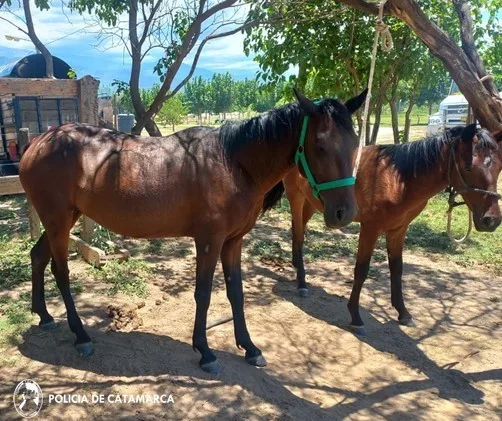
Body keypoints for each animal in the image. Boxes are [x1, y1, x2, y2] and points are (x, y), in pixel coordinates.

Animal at [19, 88, 366, 370]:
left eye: (355, 143)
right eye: (319, 145)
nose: (344, 213)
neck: (233, 163)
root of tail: (37, 143)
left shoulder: (233, 241)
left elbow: (236, 293)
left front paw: (250, 348)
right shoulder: (209, 241)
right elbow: (203, 294)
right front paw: (205, 351)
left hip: (62, 220)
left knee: (37, 257)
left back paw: (45, 316)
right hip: (58, 220)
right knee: (60, 272)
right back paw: (81, 335)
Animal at [284, 124, 502, 334]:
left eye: (499, 168)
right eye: (468, 168)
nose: (491, 220)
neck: (396, 180)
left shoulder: (398, 229)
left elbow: (397, 269)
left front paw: (403, 313)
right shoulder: (370, 229)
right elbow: (361, 270)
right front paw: (356, 317)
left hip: (313, 204)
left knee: (297, 230)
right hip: (296, 197)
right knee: (299, 236)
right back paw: (302, 283)